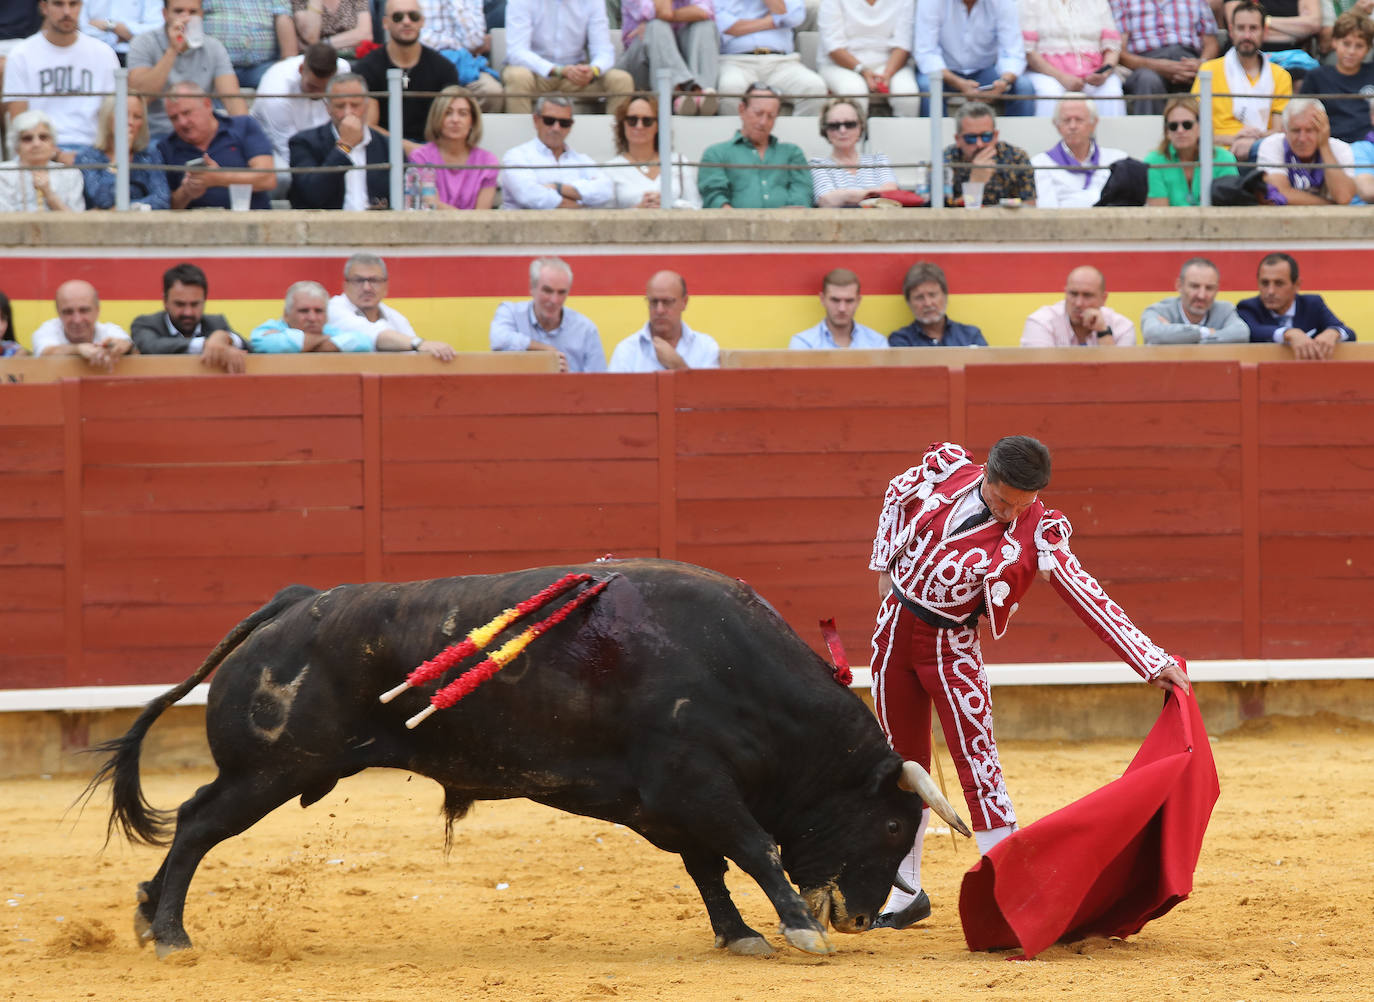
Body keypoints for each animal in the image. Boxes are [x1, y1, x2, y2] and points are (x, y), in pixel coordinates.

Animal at [85, 558, 967, 956]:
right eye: (895, 828)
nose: (859, 919)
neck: (740, 675)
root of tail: (294, 603)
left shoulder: (670, 802)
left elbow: (709, 866)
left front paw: (739, 934)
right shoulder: (695, 785)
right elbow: (751, 849)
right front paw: (798, 930)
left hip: (272, 773)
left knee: (191, 825)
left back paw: (147, 914)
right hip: (269, 771)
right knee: (196, 826)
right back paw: (170, 933)